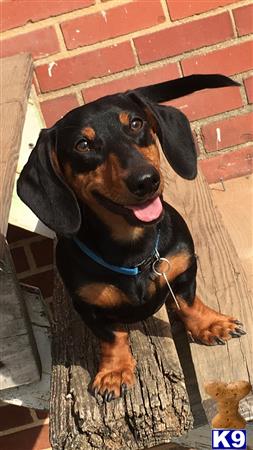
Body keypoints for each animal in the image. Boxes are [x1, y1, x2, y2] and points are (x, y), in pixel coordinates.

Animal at [17, 75, 245, 402]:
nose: (146, 181)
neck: (135, 250)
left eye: (136, 124)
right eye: (83, 144)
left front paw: (209, 324)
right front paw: (114, 371)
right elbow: (113, 337)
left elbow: (187, 301)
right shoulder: (88, 307)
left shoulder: (184, 268)